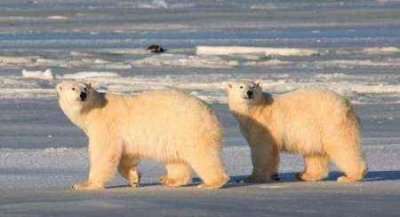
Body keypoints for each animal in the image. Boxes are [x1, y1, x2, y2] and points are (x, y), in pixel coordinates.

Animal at [57, 80, 230, 190]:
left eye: (85, 88)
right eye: (73, 88)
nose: (82, 95)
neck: (93, 109)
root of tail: (211, 112)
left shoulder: (105, 125)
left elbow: (103, 153)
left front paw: (84, 184)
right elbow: (127, 156)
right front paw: (134, 178)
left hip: (191, 128)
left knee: (203, 155)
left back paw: (211, 183)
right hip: (175, 134)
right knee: (175, 160)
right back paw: (169, 179)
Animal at [227, 79, 368, 183]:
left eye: (253, 86)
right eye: (241, 87)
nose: (249, 92)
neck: (256, 110)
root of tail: (347, 104)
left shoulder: (265, 126)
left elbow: (262, 150)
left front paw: (251, 178)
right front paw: (272, 176)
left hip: (331, 122)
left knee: (343, 145)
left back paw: (350, 176)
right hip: (315, 130)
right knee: (314, 153)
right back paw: (305, 175)